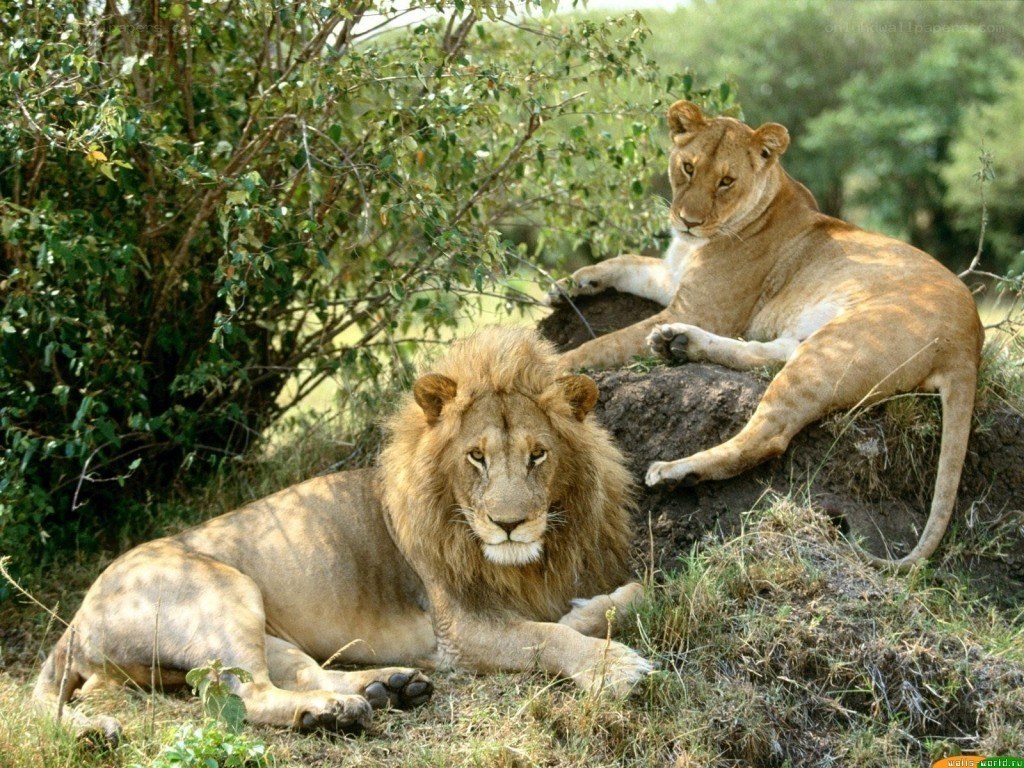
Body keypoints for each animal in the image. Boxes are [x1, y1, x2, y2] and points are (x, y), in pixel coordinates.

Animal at [33, 327, 650, 741]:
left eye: (538, 454)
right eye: (476, 457)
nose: (508, 524)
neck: (529, 560)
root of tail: (76, 618)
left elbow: (630, 596)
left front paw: (588, 610)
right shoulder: (459, 630)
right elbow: (546, 638)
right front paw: (615, 667)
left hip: (261, 628)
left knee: (302, 672)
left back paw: (386, 688)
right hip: (224, 592)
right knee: (244, 696)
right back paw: (334, 714)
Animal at [548, 100, 984, 570]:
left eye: (726, 181)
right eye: (687, 167)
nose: (687, 221)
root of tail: (971, 340)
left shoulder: (702, 307)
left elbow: (603, 343)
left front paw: (551, 364)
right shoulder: (676, 280)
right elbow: (627, 262)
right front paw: (570, 283)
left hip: (837, 346)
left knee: (768, 435)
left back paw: (675, 470)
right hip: (813, 340)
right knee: (768, 355)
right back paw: (677, 343)